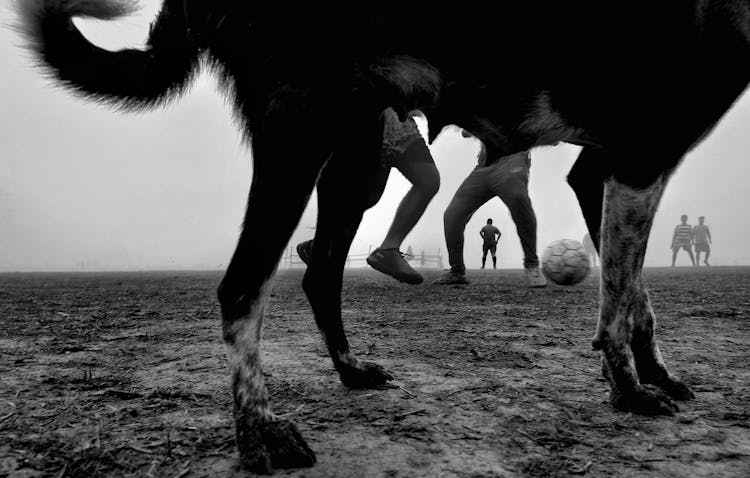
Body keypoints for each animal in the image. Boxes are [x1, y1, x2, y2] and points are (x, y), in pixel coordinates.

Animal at [17, 1, 750, 474]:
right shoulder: (637, 153)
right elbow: (621, 294)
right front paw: (629, 388)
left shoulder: (609, 166)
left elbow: (633, 291)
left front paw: (652, 374)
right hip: (299, 129)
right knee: (243, 285)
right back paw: (260, 432)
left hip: (354, 159)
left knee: (319, 271)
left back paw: (349, 369)